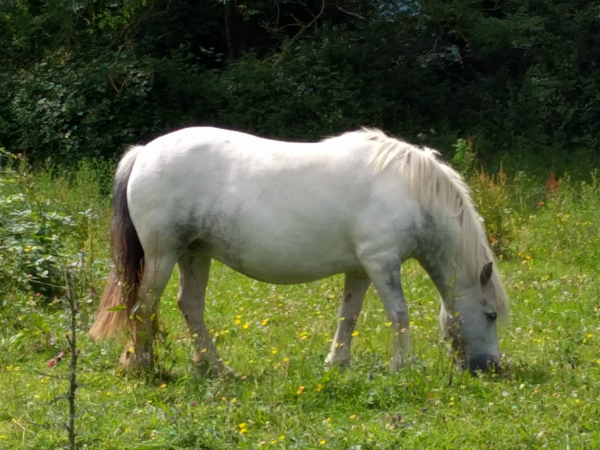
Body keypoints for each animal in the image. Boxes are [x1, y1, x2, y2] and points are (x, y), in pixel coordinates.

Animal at [91, 125, 508, 372]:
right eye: (490, 315)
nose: (490, 366)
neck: (409, 188)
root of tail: (143, 152)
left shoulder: (361, 269)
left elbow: (348, 316)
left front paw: (337, 362)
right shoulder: (382, 263)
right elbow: (399, 315)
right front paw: (404, 366)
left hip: (195, 253)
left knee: (189, 306)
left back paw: (216, 367)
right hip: (163, 254)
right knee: (144, 306)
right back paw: (145, 366)